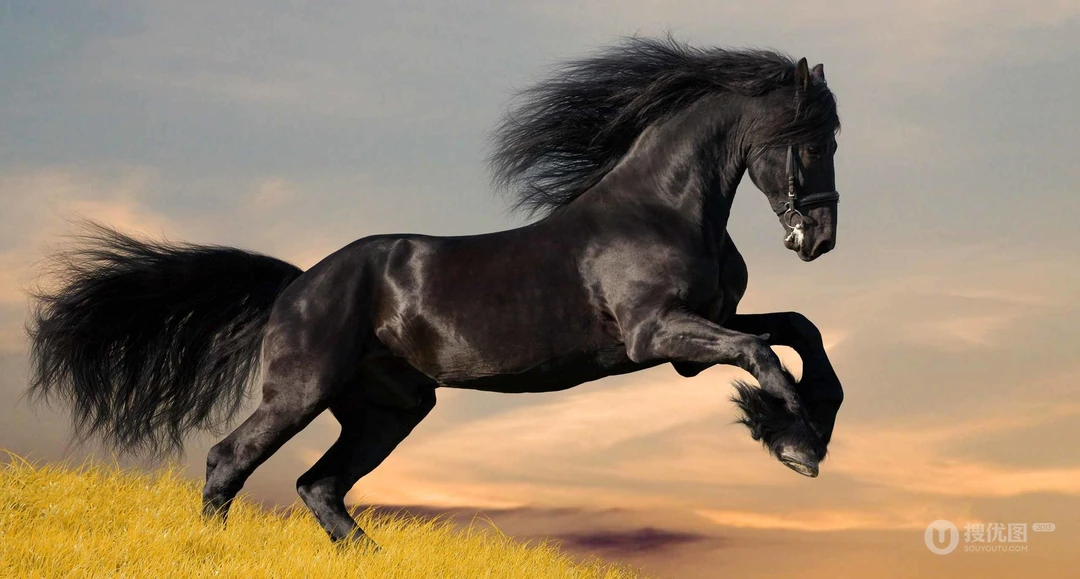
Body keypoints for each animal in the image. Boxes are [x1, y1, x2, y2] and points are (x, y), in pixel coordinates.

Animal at [26, 36, 845, 547]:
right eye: (811, 140)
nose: (820, 239)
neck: (663, 208)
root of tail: (297, 284)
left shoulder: (699, 332)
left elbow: (798, 329)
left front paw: (810, 423)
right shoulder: (658, 335)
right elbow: (762, 354)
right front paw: (794, 442)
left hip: (389, 408)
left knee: (320, 485)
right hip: (301, 391)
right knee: (230, 460)